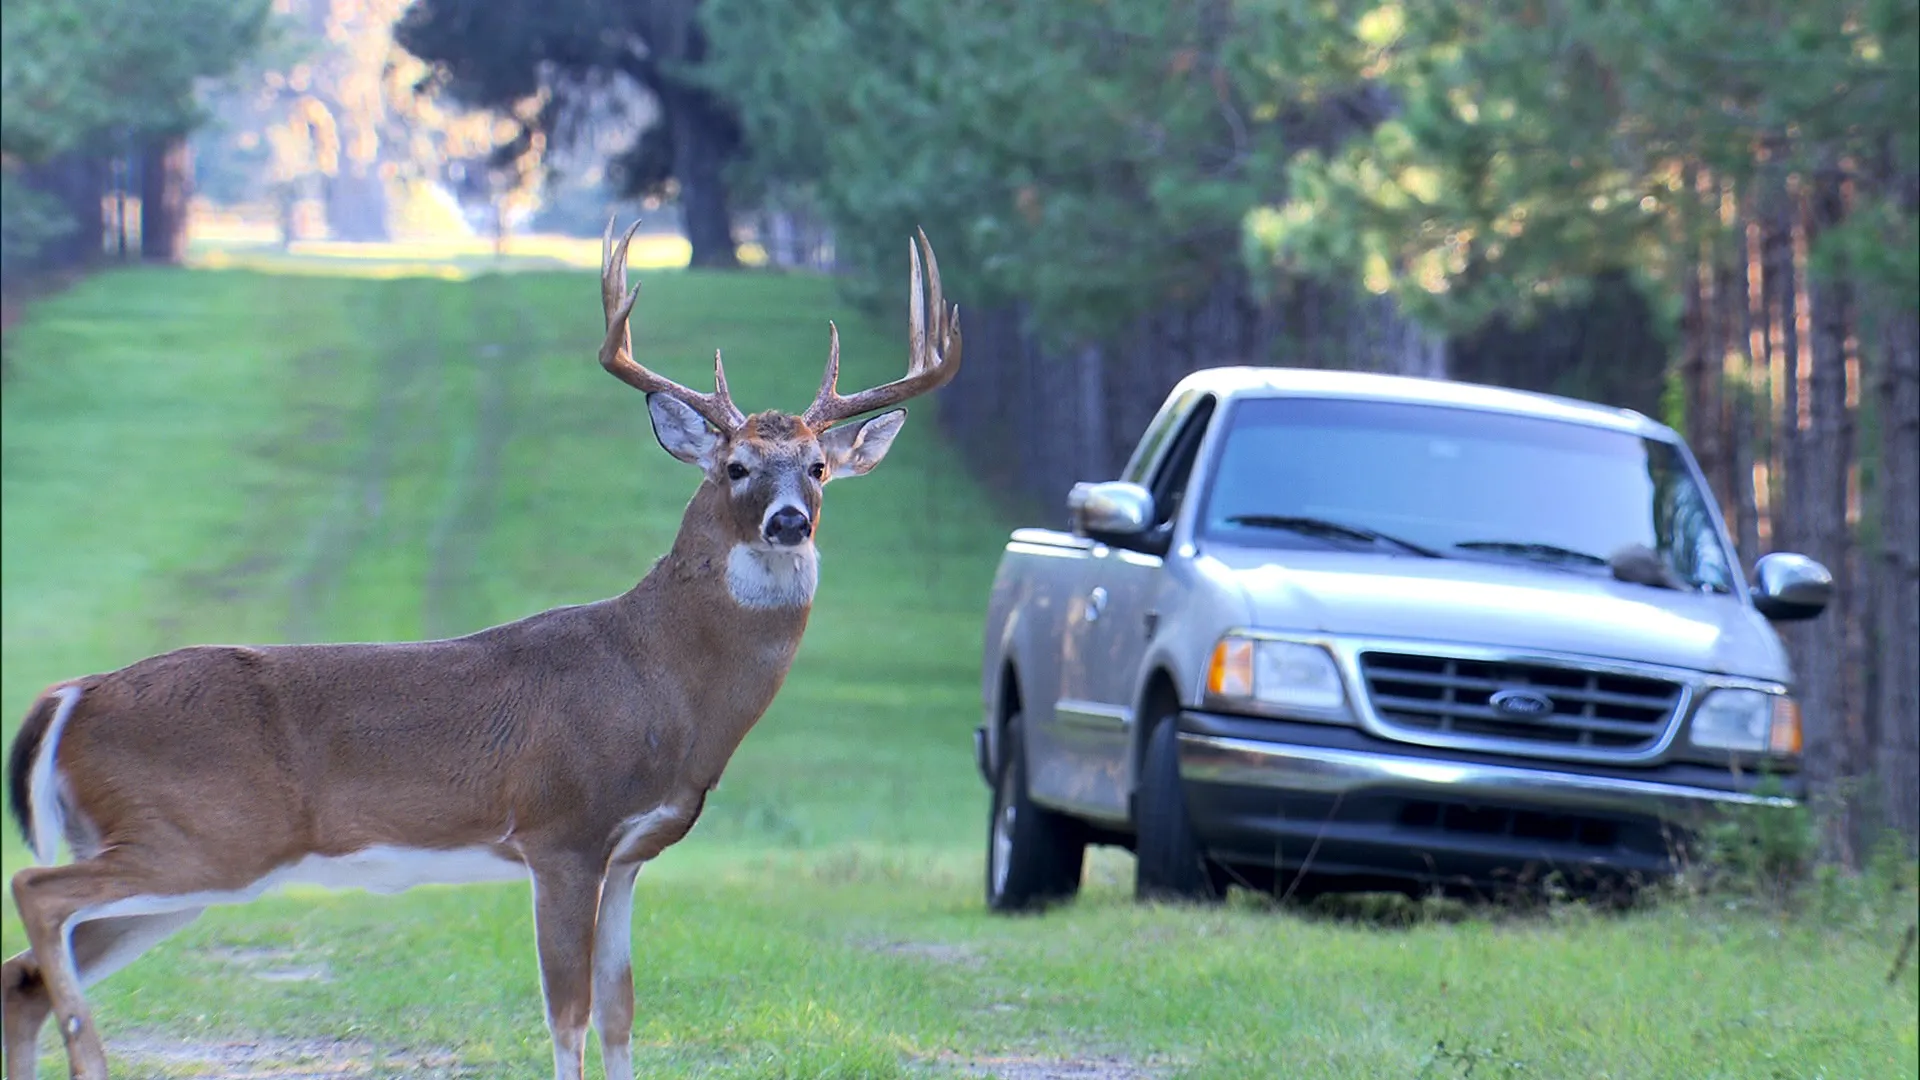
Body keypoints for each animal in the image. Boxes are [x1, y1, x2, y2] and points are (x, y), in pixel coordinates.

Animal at [0, 219, 960, 1076]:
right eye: (736, 468)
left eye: (820, 468)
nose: (789, 521)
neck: (661, 683)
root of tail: (73, 694)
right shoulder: (559, 830)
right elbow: (567, 1017)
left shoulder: (631, 855)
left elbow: (621, 1015)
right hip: (198, 835)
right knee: (34, 896)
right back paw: (93, 1054)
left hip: (182, 859)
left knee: (24, 979)